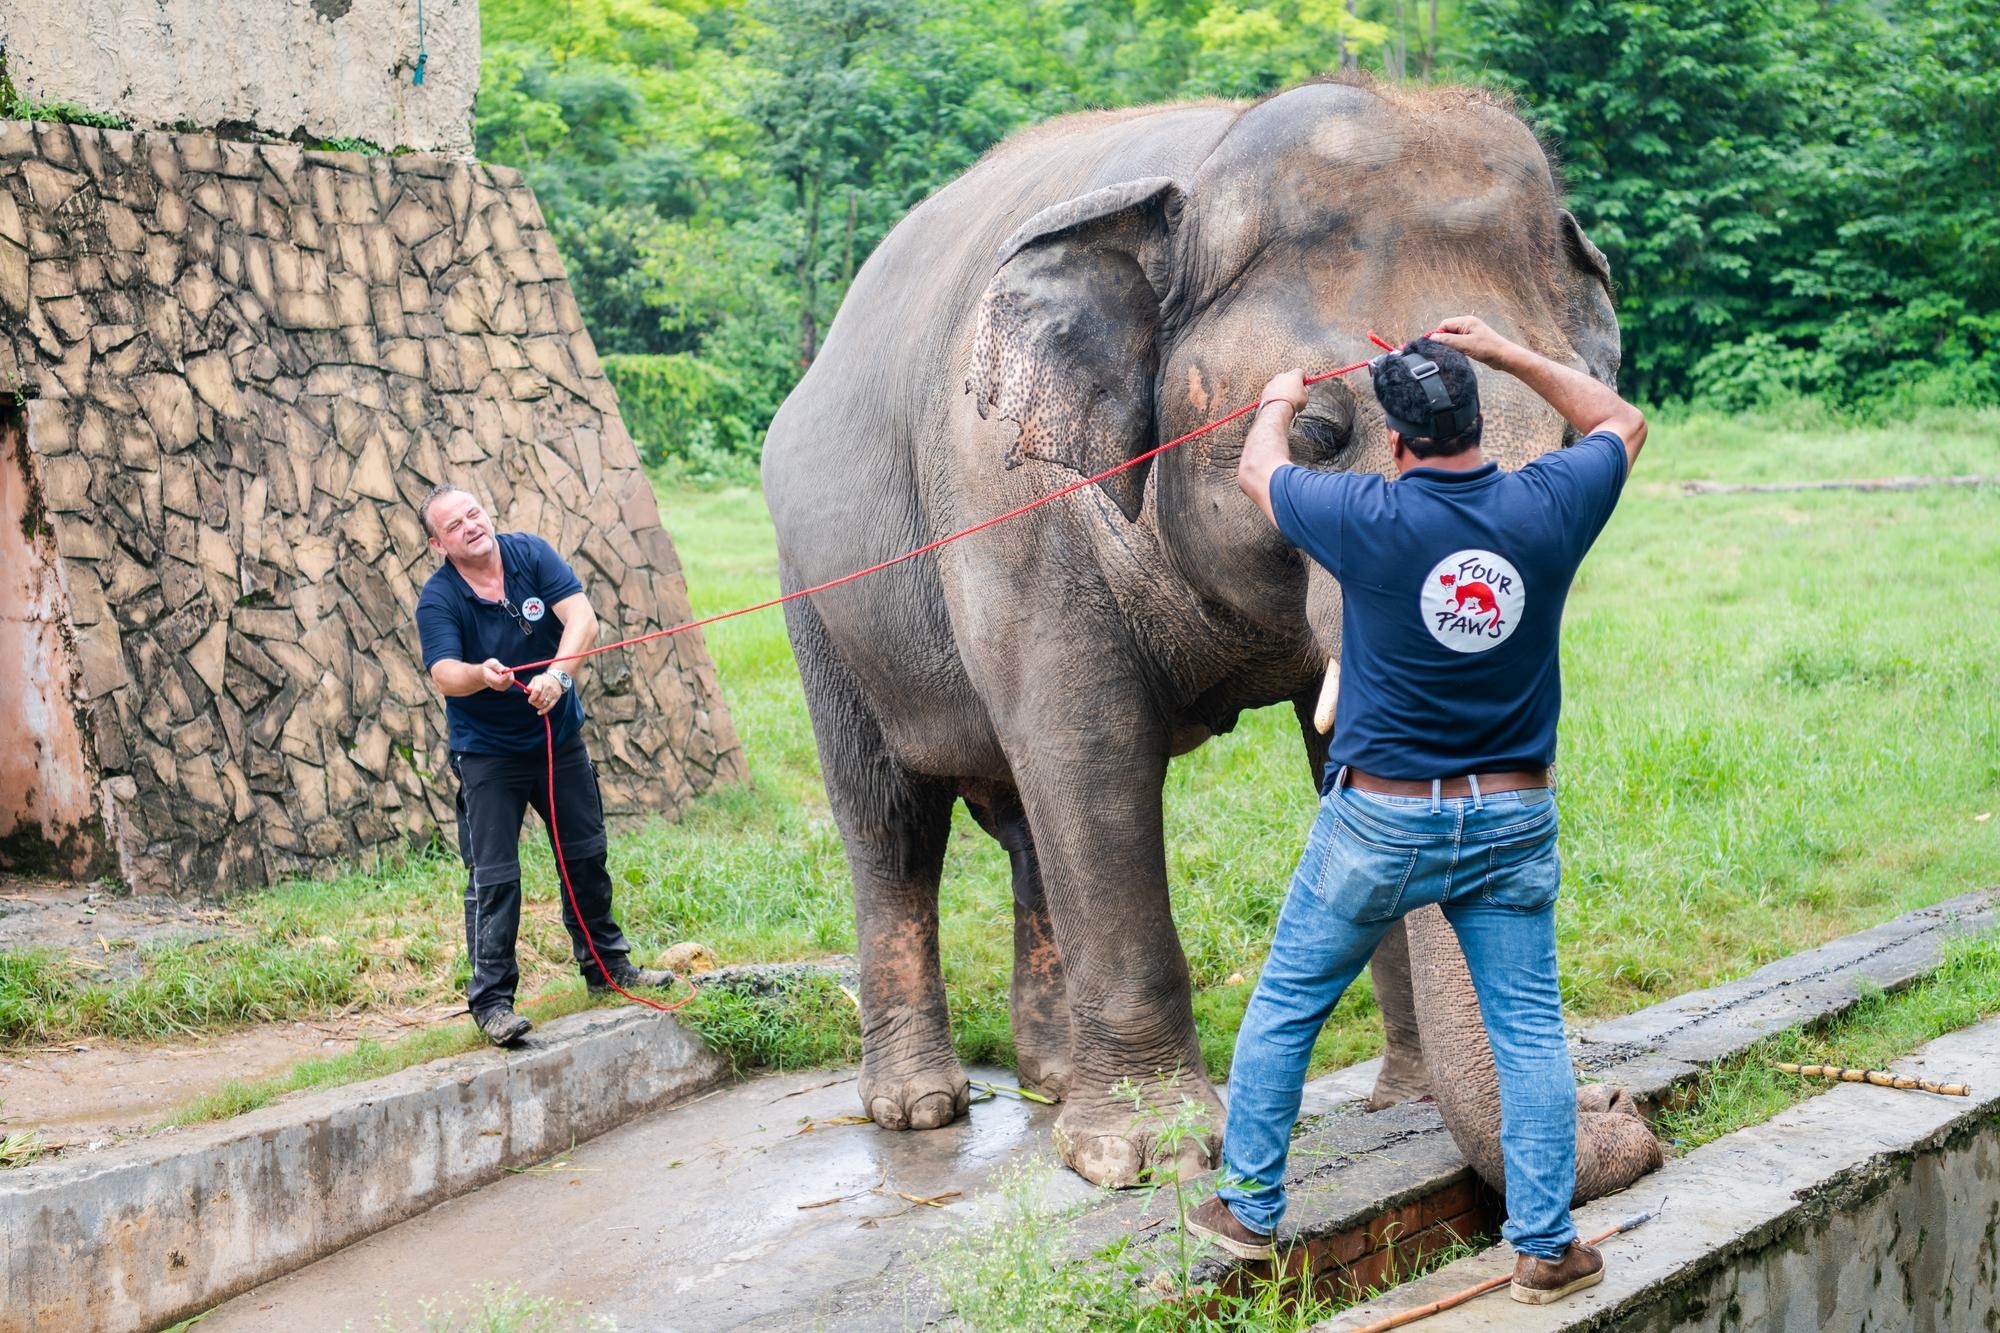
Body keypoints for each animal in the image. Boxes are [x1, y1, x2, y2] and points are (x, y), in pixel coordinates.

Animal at [760, 78, 1656, 1184]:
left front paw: (1397, 1104)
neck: (1207, 159)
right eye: (1317, 434)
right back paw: (919, 1107)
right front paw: (1148, 1155)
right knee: (892, 823)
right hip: (816, 598)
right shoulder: (1011, 503)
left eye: (1571, 438)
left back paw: (1049, 1078)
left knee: (1023, 826)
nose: (1617, 1104)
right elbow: (1088, 748)